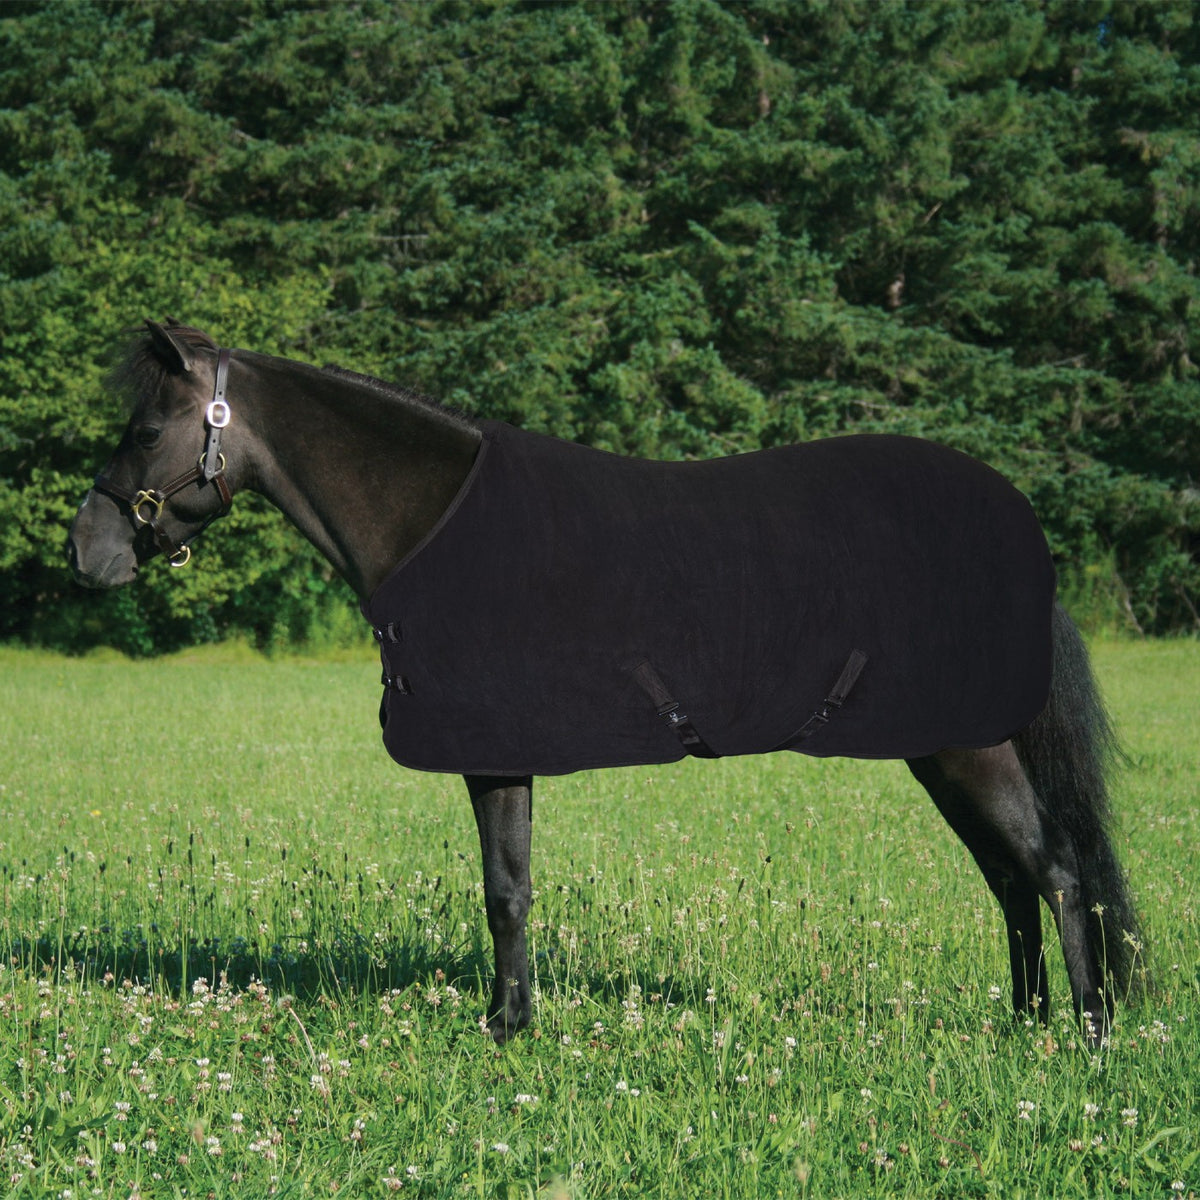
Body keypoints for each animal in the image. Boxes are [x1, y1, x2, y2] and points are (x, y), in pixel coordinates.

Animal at [67, 319, 1142, 1044]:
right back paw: (1025, 1023)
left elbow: (503, 890)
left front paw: (505, 1030)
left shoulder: (492, 746)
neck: (440, 527)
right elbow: (511, 885)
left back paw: (1085, 1039)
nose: (87, 552)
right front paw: (512, 1020)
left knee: (1053, 871)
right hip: (939, 749)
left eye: (147, 428)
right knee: (1010, 882)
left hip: (971, 746)